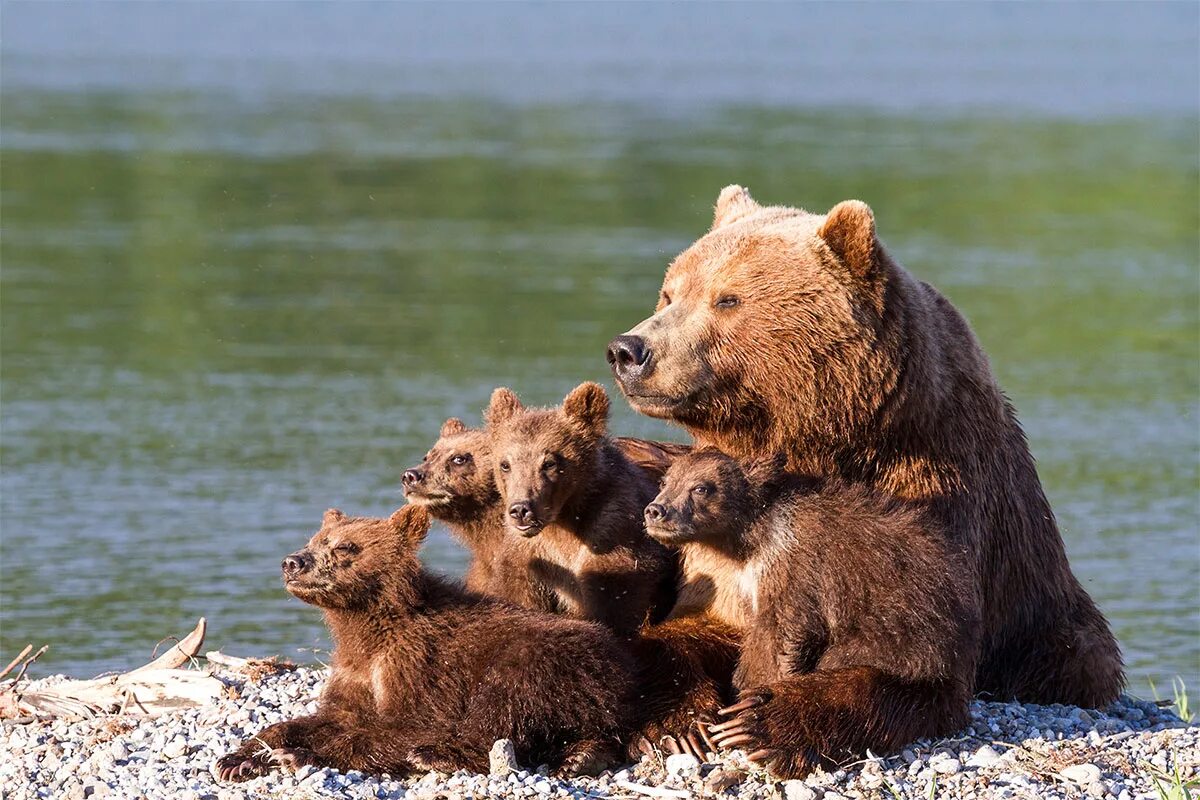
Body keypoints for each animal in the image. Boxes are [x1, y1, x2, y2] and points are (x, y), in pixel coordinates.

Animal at [609, 188, 1123, 719]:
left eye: (727, 298)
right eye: (670, 293)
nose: (629, 349)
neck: (831, 436)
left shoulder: (929, 489)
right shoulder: (714, 535)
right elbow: (701, 618)